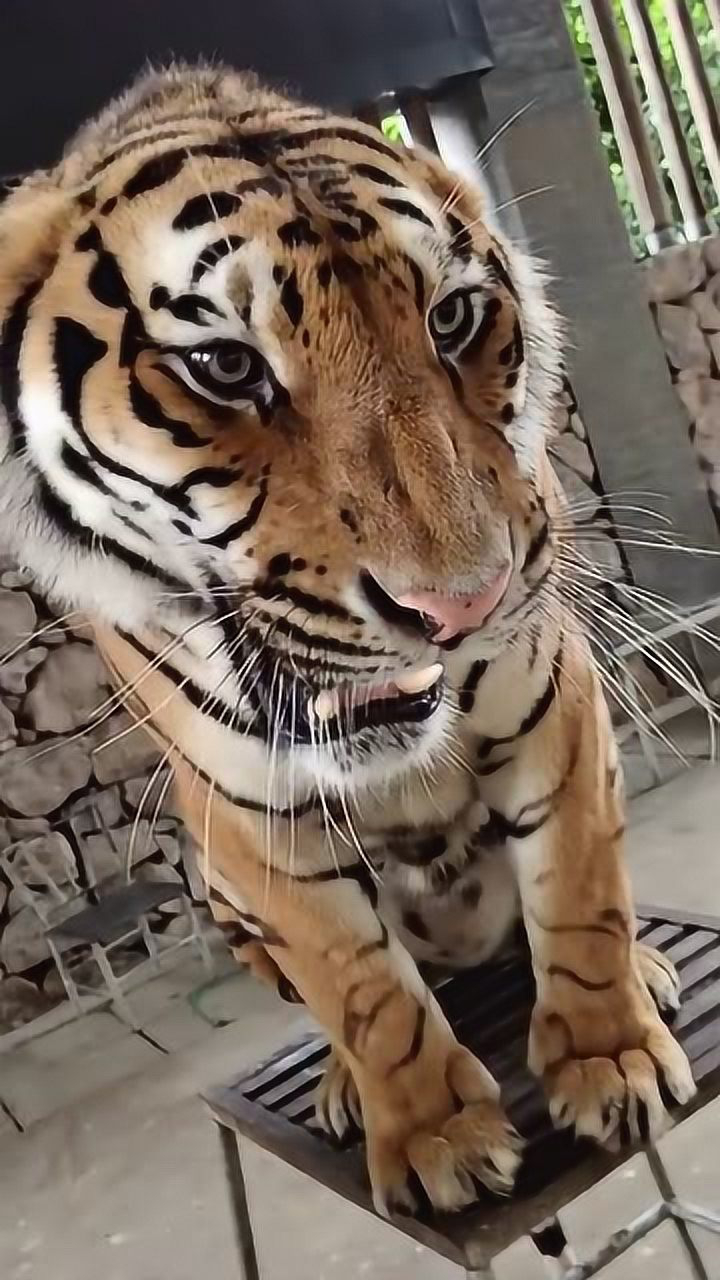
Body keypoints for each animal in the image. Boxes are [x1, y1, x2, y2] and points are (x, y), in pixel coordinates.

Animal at [0, 64, 694, 1217]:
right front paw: (437, 1134)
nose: (465, 604)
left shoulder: (549, 690)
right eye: (225, 366)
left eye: (452, 317)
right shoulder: (251, 807)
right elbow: (361, 987)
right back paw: (339, 1087)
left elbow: (579, 888)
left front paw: (611, 1057)